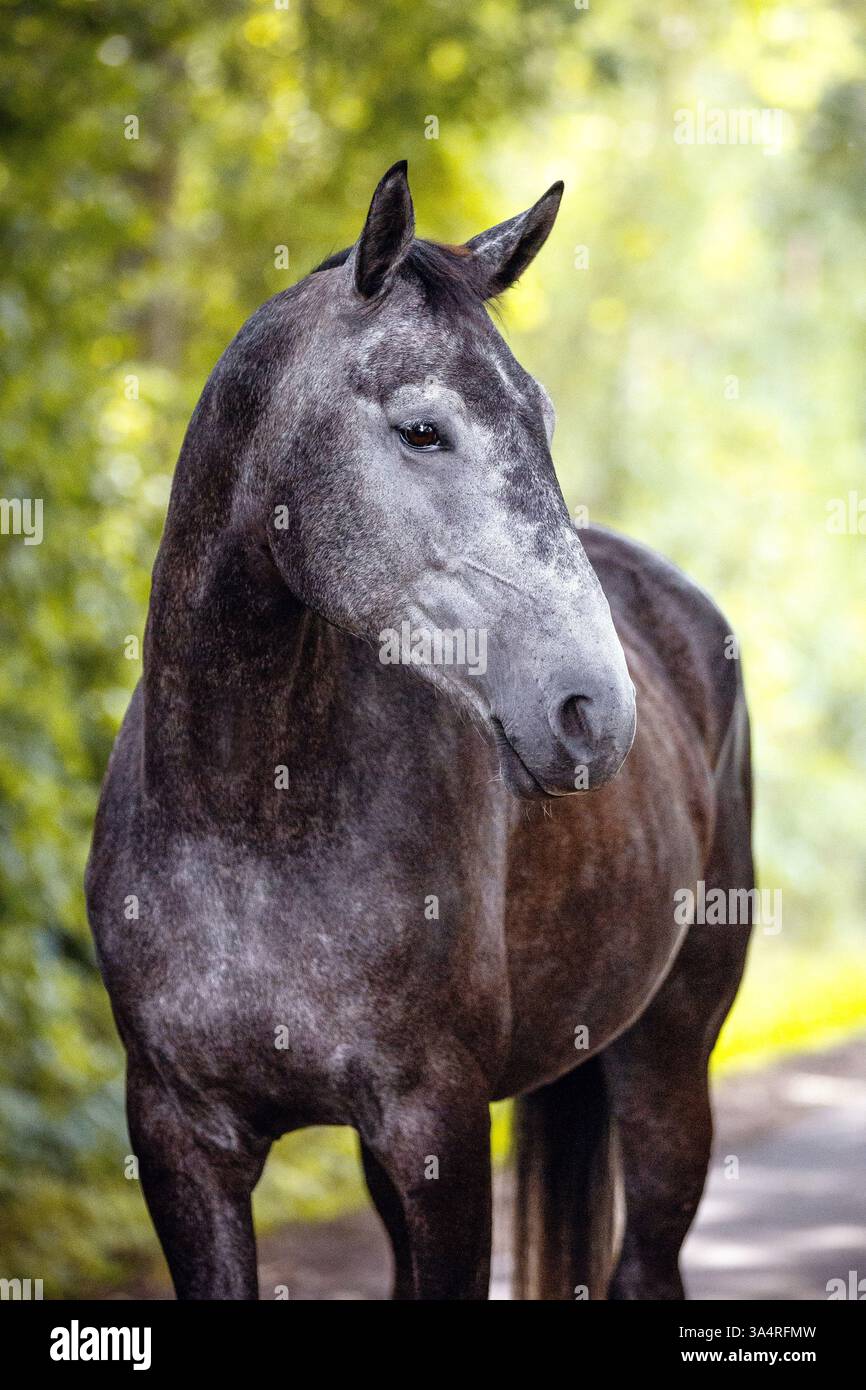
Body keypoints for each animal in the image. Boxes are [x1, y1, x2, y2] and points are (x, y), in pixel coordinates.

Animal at [86, 160, 754, 1300]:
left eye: (540, 418)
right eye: (422, 430)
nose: (593, 711)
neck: (248, 820)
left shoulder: (438, 1128)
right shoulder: (179, 1140)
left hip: (668, 1065)